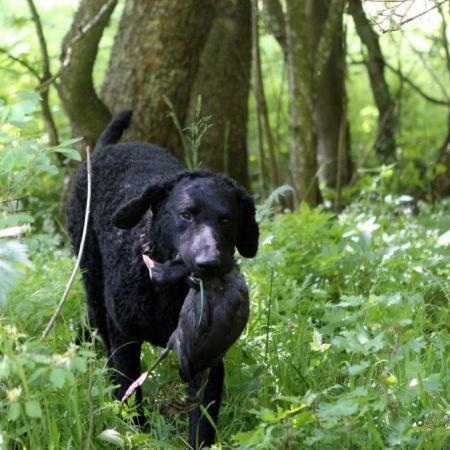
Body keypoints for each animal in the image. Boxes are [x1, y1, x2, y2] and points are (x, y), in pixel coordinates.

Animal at [66, 110, 256, 448]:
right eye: (186, 214)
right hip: (94, 284)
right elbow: (130, 399)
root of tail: (106, 149)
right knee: (97, 326)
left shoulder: (206, 360)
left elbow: (202, 420)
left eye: (226, 219)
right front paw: (137, 434)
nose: (210, 263)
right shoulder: (125, 338)